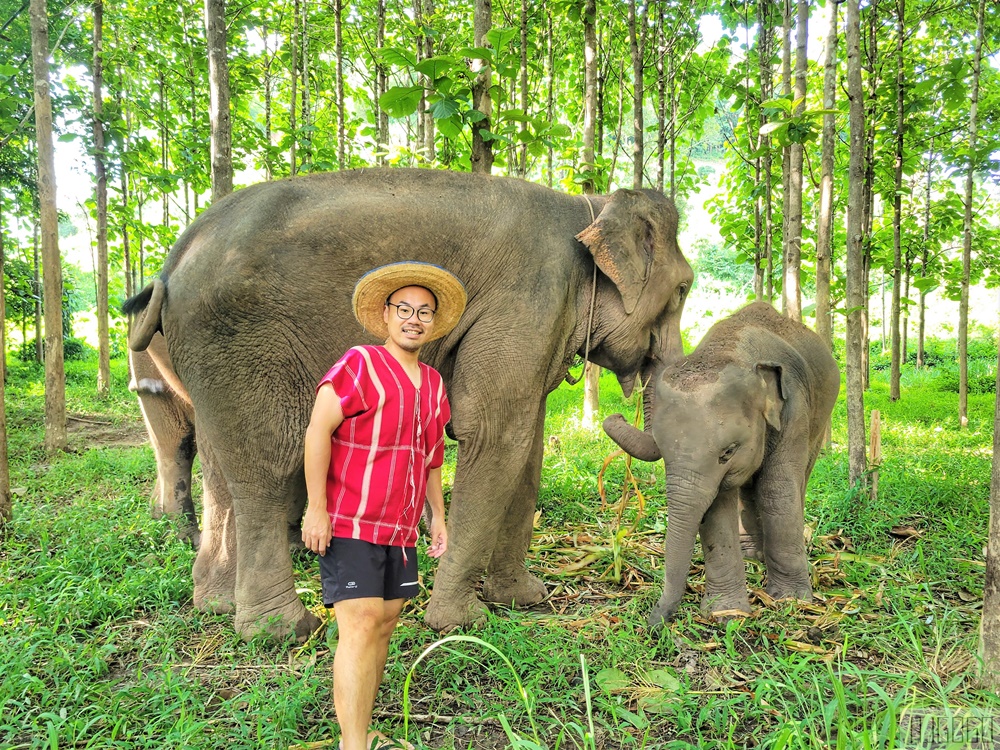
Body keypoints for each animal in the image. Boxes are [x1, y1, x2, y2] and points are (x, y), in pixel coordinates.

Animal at [123, 167, 693, 640]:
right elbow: (493, 434)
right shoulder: (528, 299)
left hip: (202, 355)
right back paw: (282, 630)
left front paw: (525, 599)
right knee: (268, 460)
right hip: (239, 339)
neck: (589, 208)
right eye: (686, 289)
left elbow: (525, 444)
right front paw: (461, 623)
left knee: (217, 461)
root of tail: (172, 262)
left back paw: (216, 604)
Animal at [604, 302, 840, 627]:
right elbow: (717, 507)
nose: (652, 622)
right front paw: (726, 614)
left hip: (821, 414)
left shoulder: (794, 411)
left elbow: (777, 491)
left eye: (728, 451)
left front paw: (791, 600)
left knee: (797, 478)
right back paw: (752, 554)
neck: (731, 350)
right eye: (663, 451)